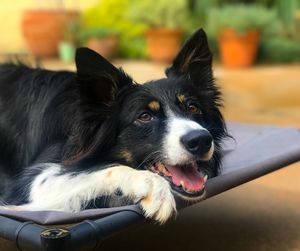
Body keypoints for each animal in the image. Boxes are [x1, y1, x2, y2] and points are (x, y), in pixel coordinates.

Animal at [0, 28, 225, 224]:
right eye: (145, 116)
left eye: (193, 107)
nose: (201, 140)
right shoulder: (30, 184)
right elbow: (108, 168)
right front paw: (154, 188)